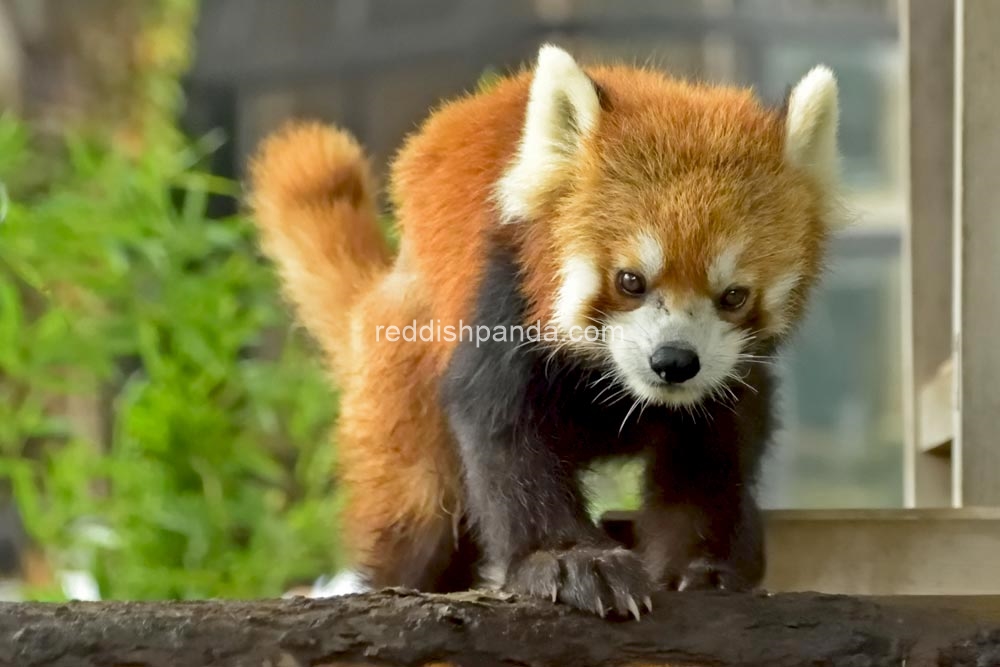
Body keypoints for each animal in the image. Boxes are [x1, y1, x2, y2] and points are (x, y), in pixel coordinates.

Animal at [248, 44, 836, 620]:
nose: (673, 361)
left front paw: (703, 566)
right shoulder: (502, 299)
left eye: (733, 295)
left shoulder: (727, 377)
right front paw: (570, 560)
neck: (613, 382)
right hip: (402, 387)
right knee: (420, 514)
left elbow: (710, 452)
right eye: (630, 281)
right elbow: (504, 433)